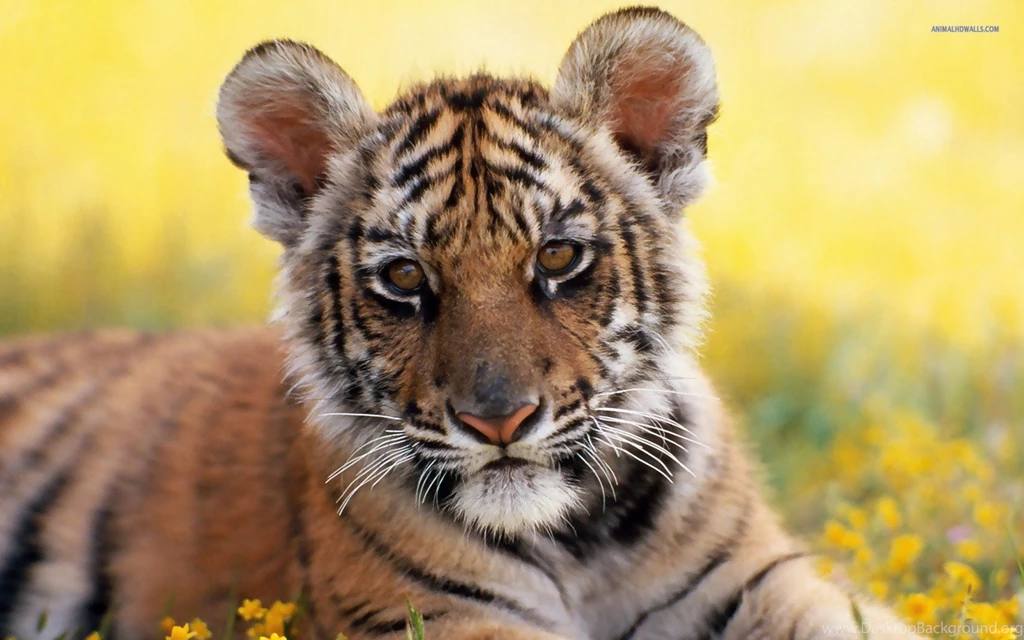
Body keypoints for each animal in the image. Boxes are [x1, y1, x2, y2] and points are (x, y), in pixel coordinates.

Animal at [0, 7, 925, 640]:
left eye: (557, 258)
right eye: (406, 277)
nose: (499, 421)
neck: (581, 541)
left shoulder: (768, 583)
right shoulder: (437, 617)